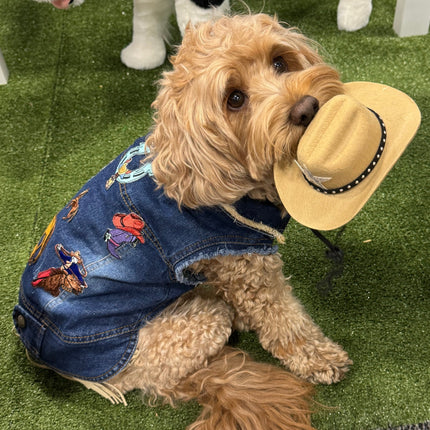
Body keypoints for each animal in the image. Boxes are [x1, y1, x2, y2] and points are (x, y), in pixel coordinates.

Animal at [15, 14, 354, 430]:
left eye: (279, 61)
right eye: (235, 99)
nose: (306, 108)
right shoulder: (247, 266)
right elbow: (284, 320)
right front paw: (320, 358)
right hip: (186, 331)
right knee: (177, 375)